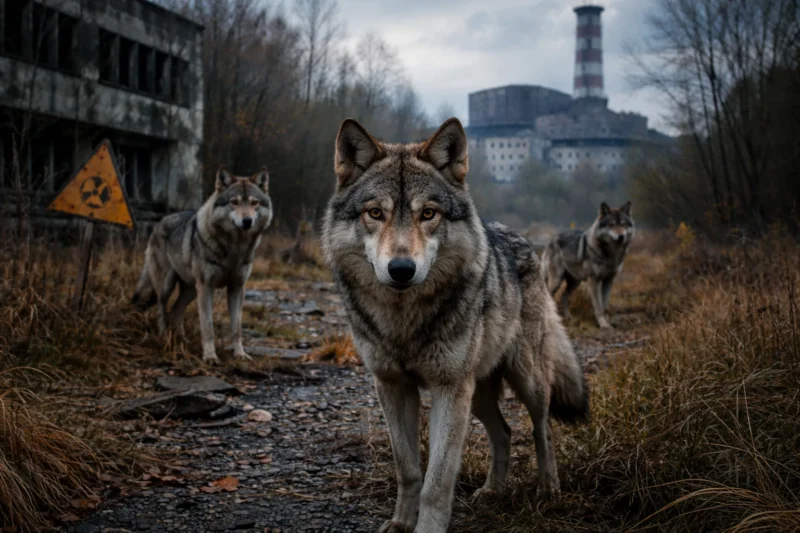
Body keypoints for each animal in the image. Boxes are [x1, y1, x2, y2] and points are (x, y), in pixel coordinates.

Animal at [132, 166, 273, 364]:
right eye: (234, 202)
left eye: (254, 203)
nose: (247, 221)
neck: (234, 247)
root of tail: (160, 221)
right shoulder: (206, 287)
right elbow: (207, 326)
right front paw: (210, 356)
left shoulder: (237, 288)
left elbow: (236, 328)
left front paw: (240, 354)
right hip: (168, 285)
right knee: (162, 309)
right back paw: (164, 336)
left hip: (191, 290)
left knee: (175, 312)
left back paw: (182, 340)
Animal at [321, 118, 588, 533]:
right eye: (375, 213)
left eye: (428, 214)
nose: (401, 269)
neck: (403, 321)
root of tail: (521, 238)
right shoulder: (392, 386)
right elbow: (408, 469)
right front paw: (400, 523)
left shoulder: (449, 389)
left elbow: (438, 480)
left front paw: (426, 529)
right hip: (476, 393)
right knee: (504, 432)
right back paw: (493, 491)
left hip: (523, 380)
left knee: (541, 427)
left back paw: (548, 488)